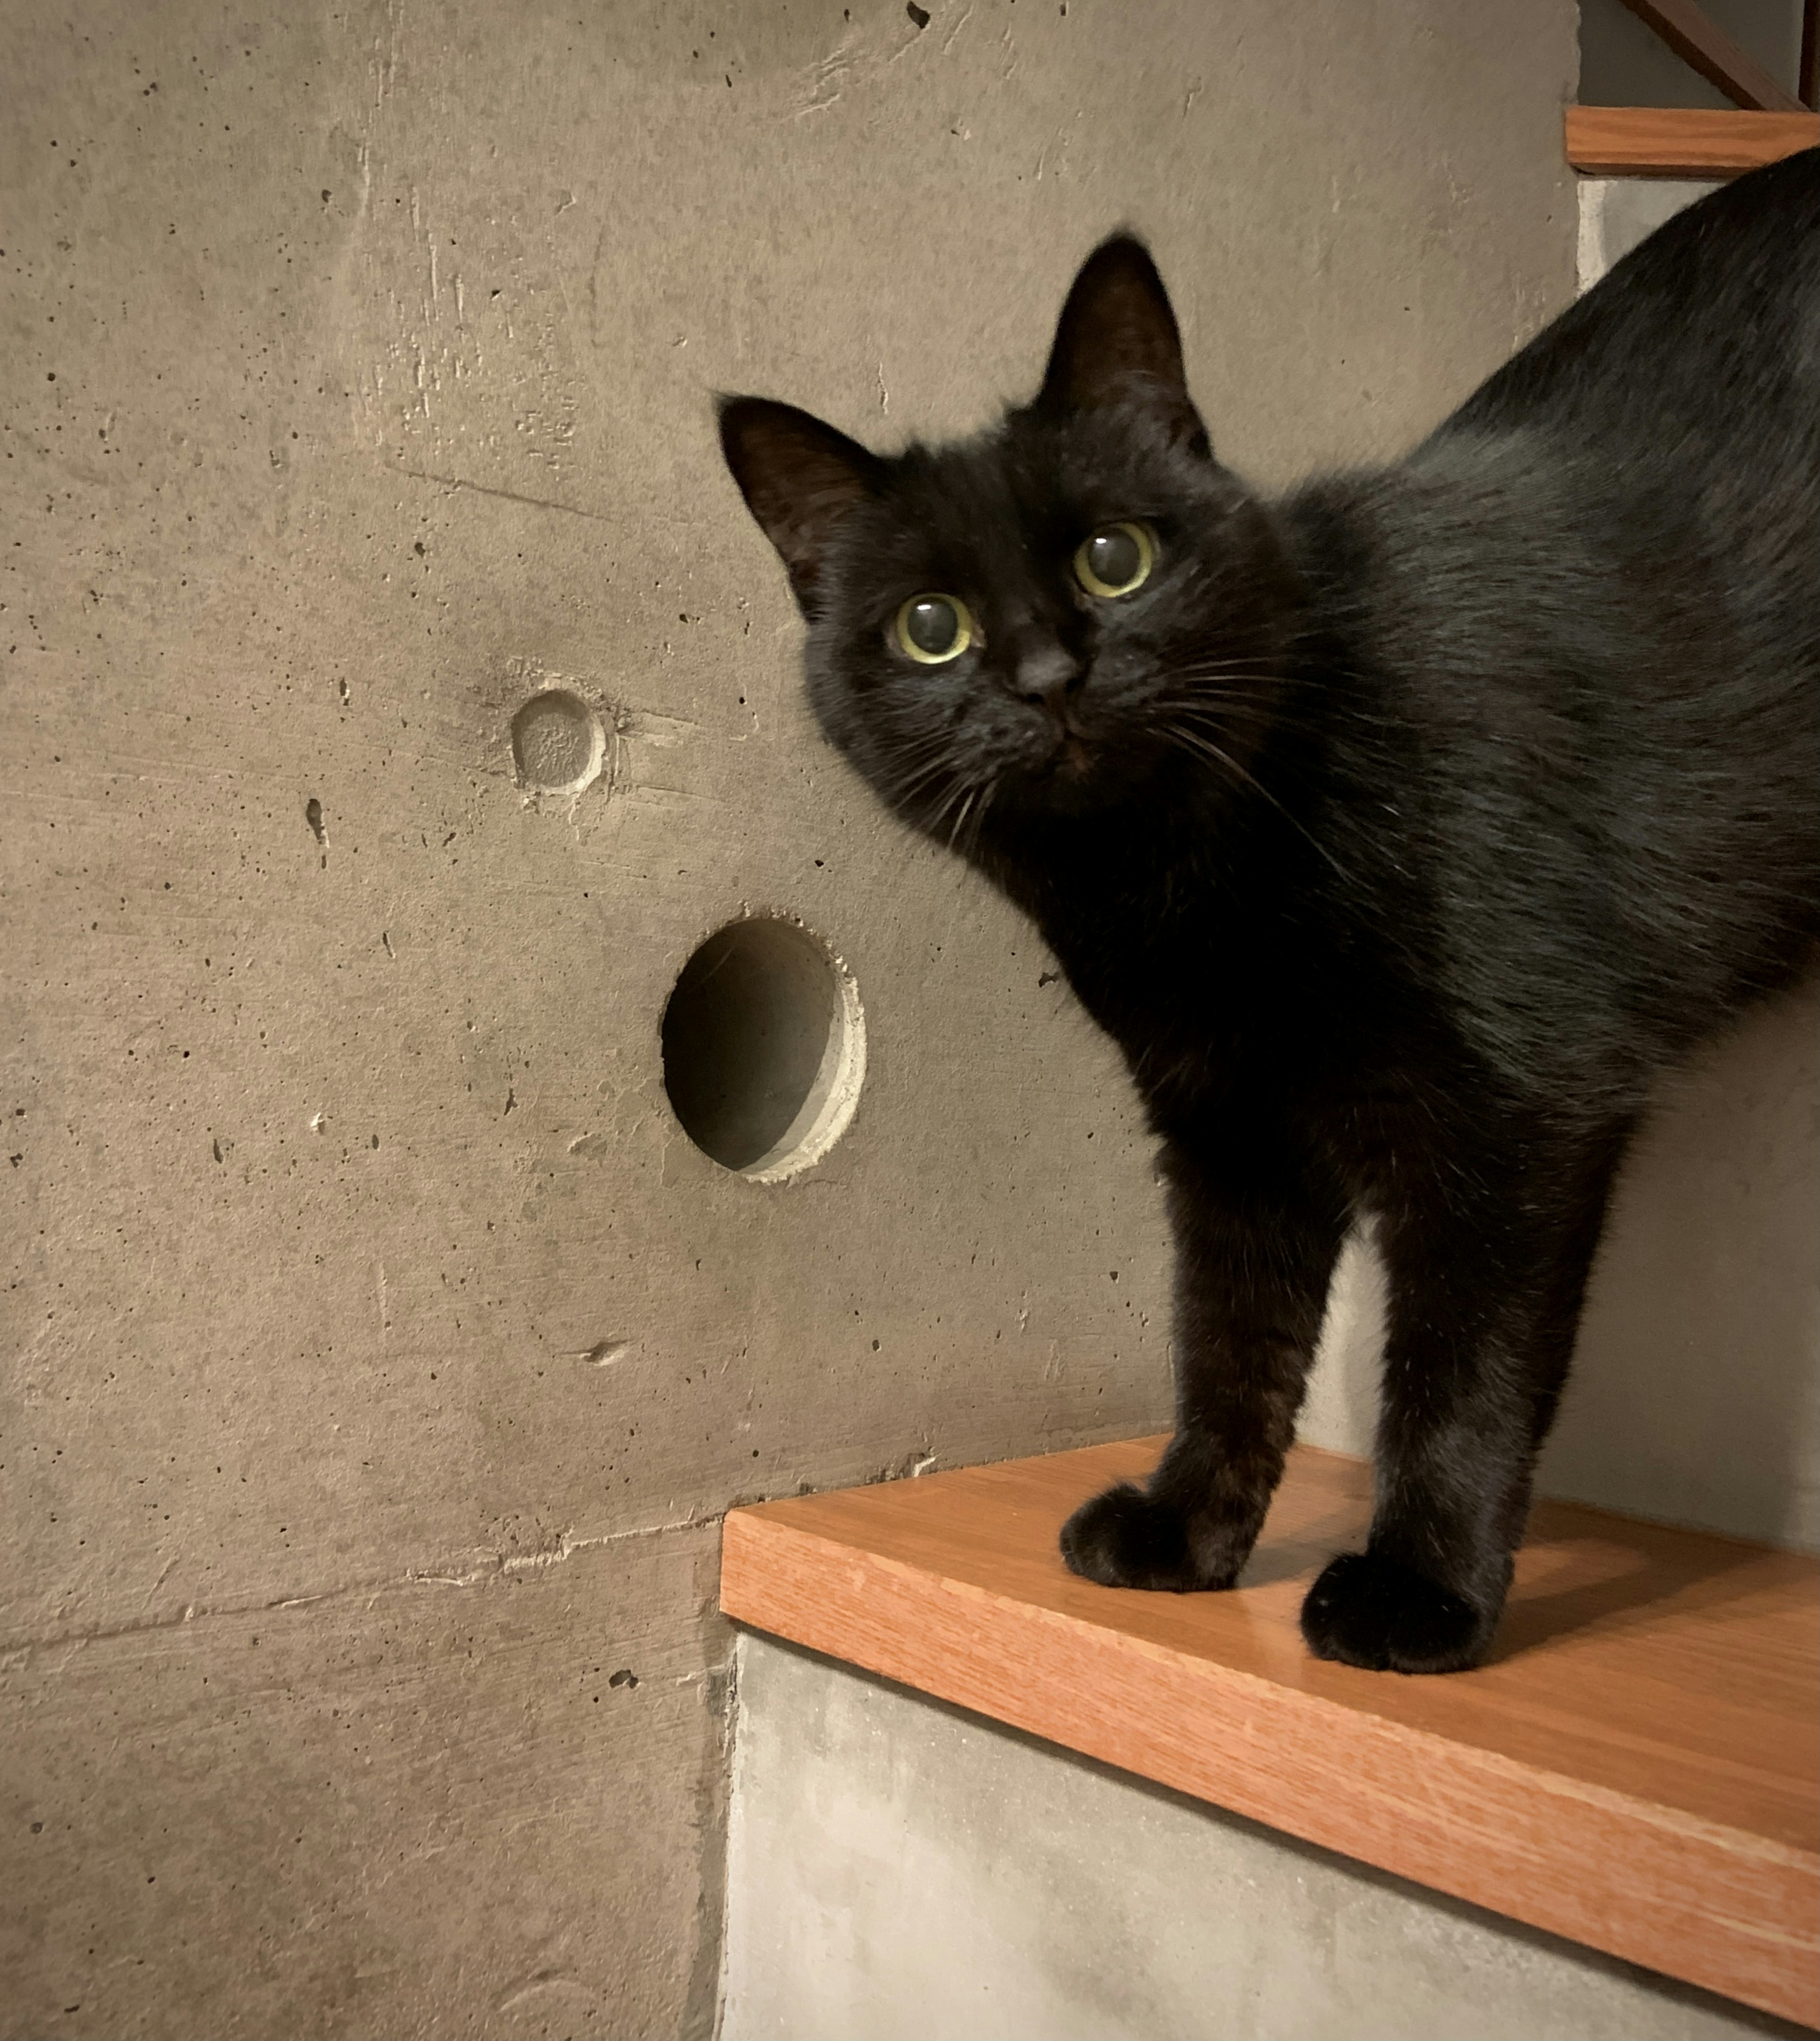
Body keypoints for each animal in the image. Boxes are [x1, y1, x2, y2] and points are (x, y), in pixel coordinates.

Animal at [718, 151, 1811, 1665]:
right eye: (929, 628)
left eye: (1116, 556)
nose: (1049, 678)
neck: (1190, 889)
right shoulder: (1226, 1124)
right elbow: (1230, 1337)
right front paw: (1189, 1530)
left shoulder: (1515, 1116)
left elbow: (1460, 1373)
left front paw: (1419, 1590)